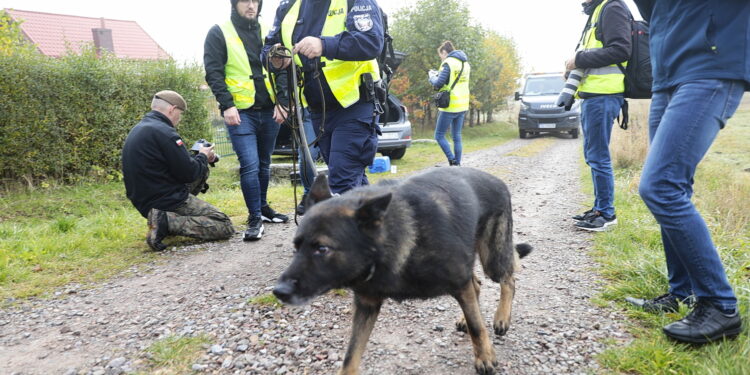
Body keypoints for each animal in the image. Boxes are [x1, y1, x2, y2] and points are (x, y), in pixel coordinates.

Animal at [276, 168, 536, 375]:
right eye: (296, 247)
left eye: (322, 249)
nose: (278, 291)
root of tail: (496, 180)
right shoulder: (367, 305)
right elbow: (351, 355)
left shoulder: (459, 282)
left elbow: (477, 325)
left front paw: (485, 357)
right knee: (478, 285)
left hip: (492, 259)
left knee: (508, 281)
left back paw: (501, 318)